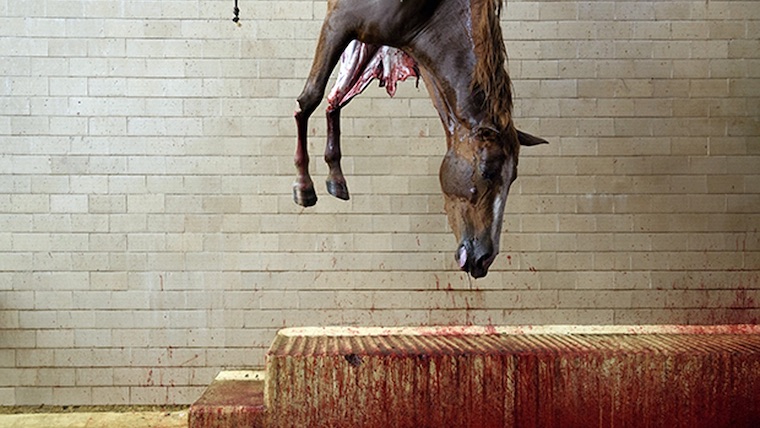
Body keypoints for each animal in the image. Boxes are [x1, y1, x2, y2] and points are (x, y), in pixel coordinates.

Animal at [293, 0, 548, 278]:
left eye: (513, 178)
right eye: (487, 171)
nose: (484, 259)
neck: (430, 11)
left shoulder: (368, 42)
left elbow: (336, 100)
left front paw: (335, 175)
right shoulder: (338, 20)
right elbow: (310, 98)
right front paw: (303, 185)